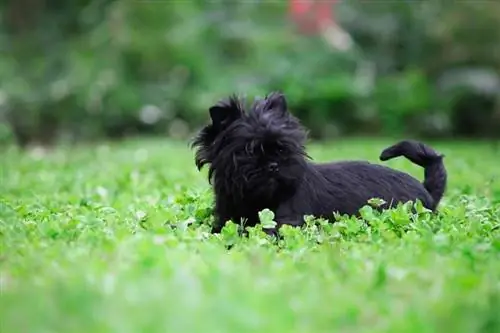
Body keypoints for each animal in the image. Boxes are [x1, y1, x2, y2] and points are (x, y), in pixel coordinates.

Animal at [190, 89, 446, 232]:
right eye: (250, 151)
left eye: (283, 149)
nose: (273, 165)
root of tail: (426, 191)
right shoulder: (226, 219)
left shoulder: (287, 223)